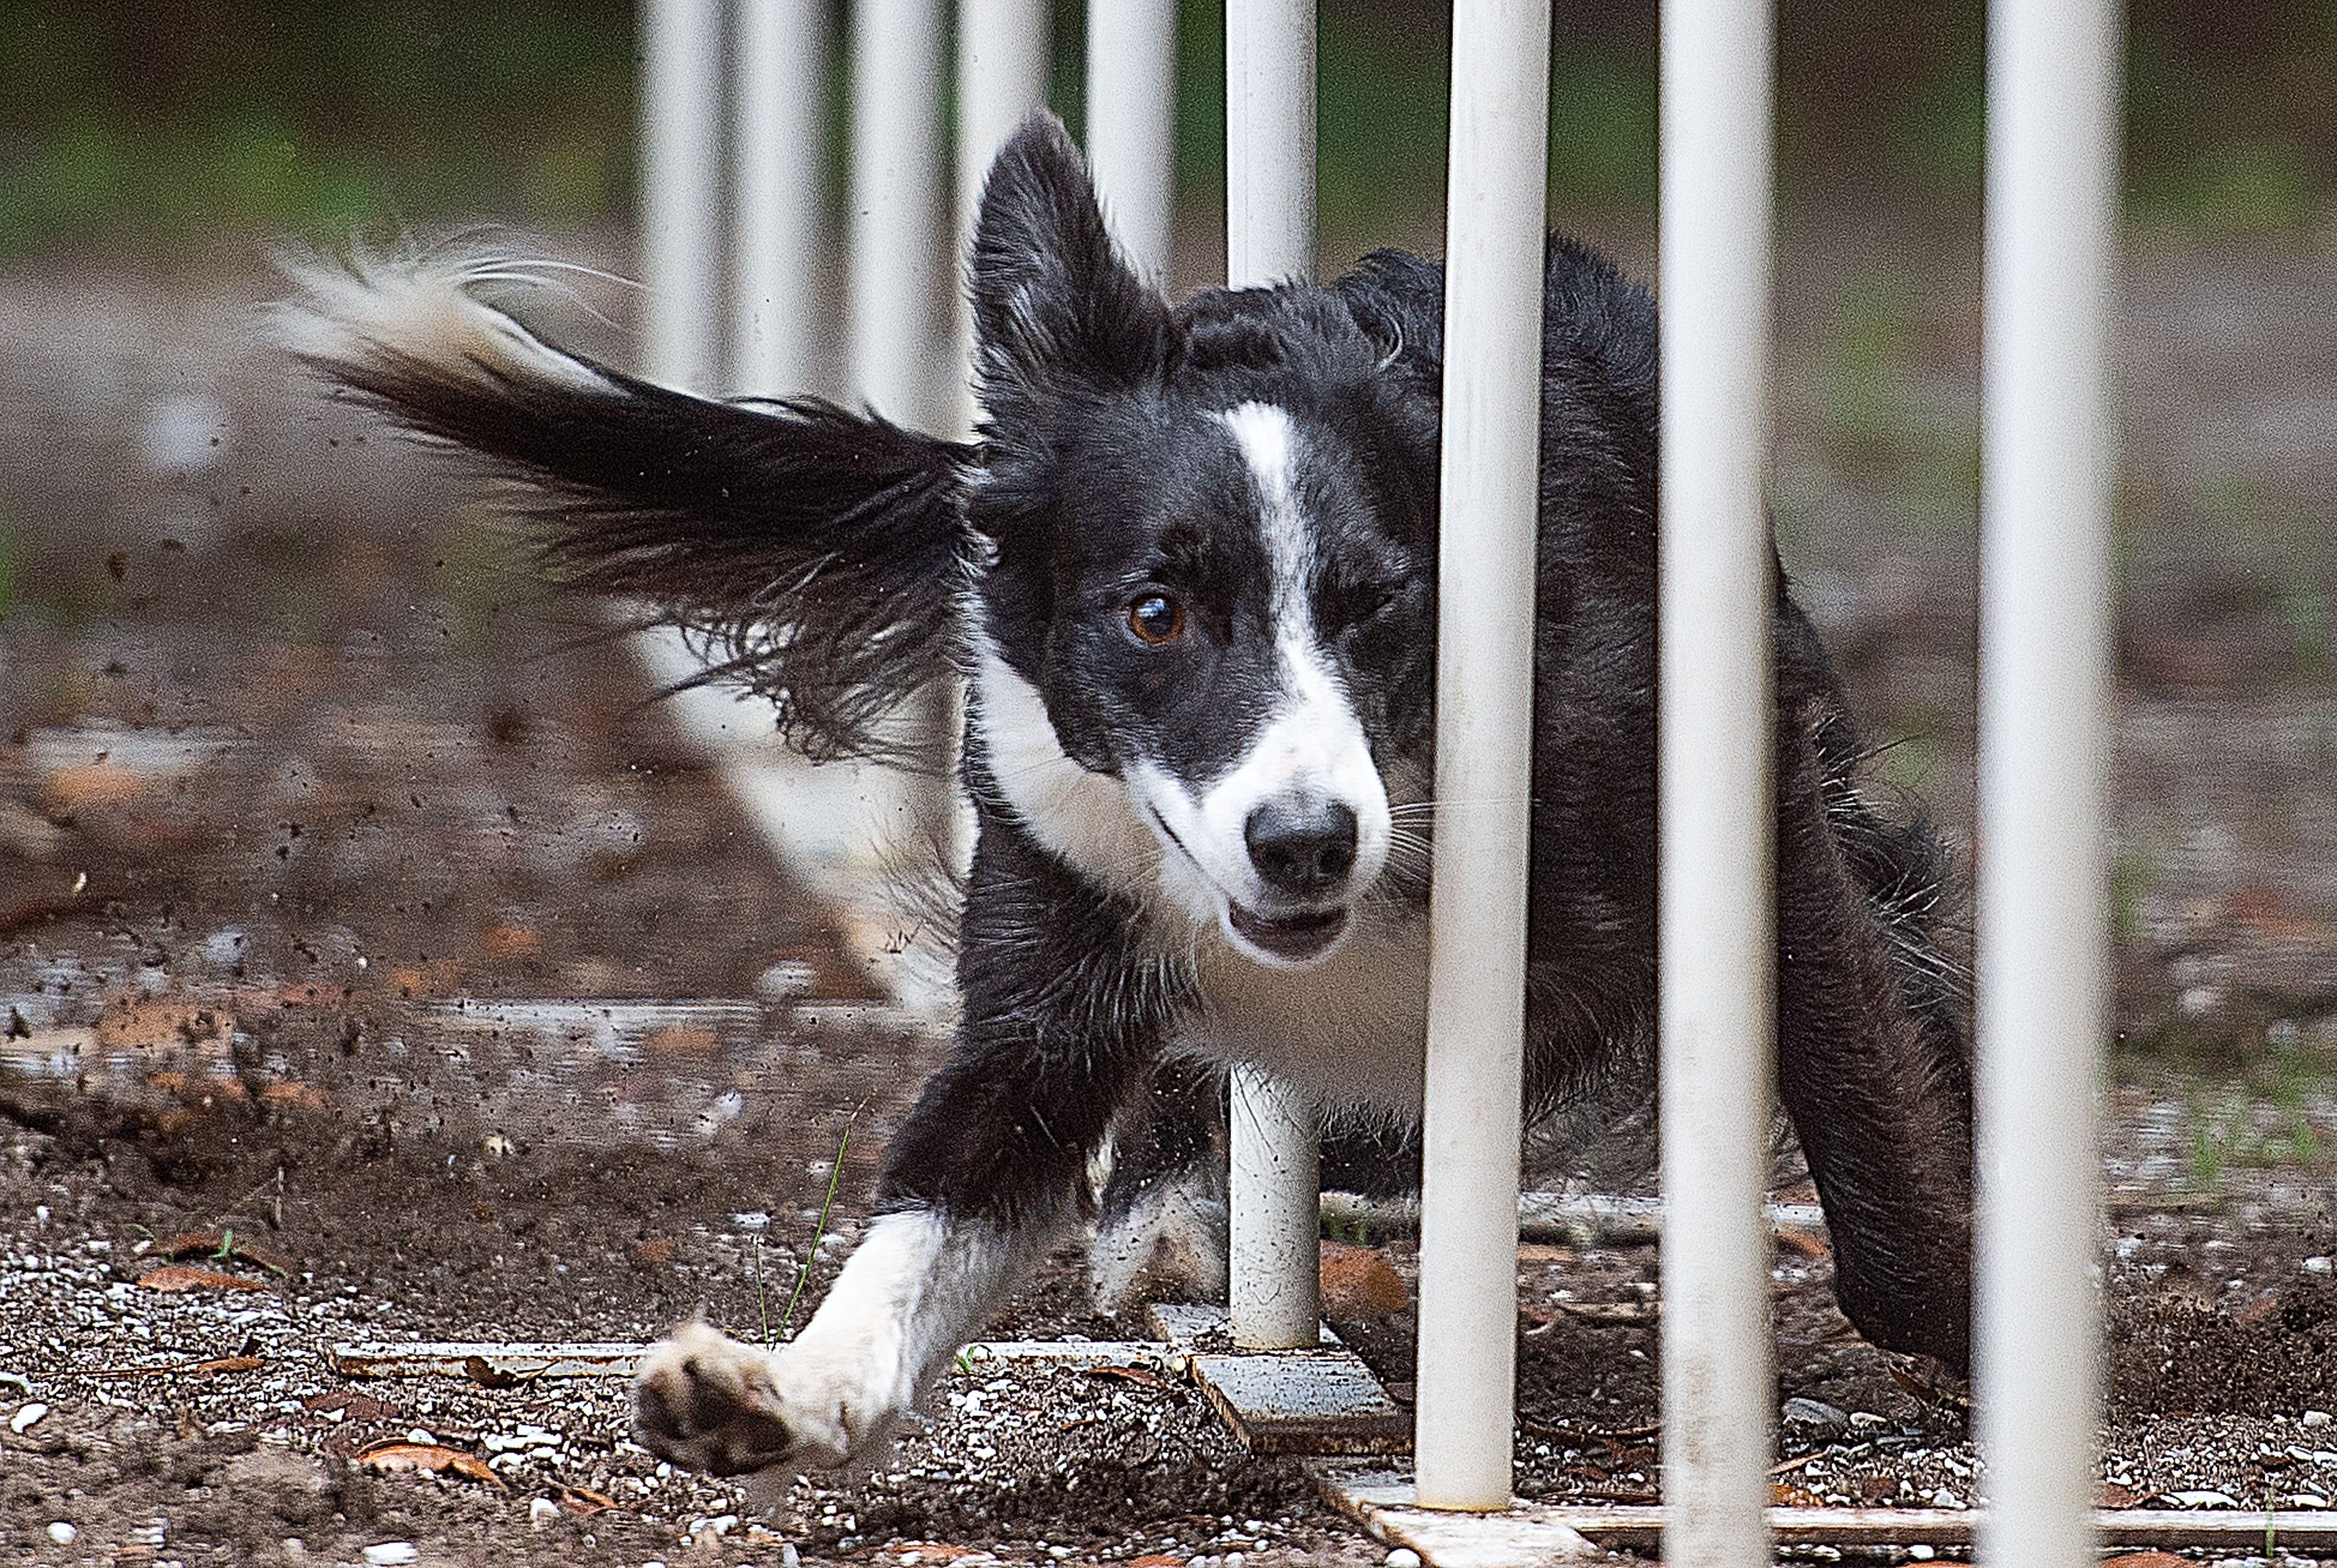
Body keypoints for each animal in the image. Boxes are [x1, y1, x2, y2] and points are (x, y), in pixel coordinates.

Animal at [283, 116, 1981, 1477]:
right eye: (1154, 613)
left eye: (1379, 609)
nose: (1304, 844)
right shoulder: (1051, 965)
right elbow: (929, 1209)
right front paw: (788, 1390)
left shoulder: (1750, 830)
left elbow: (1883, 1166)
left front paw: (1987, 1315)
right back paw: (1172, 1206)